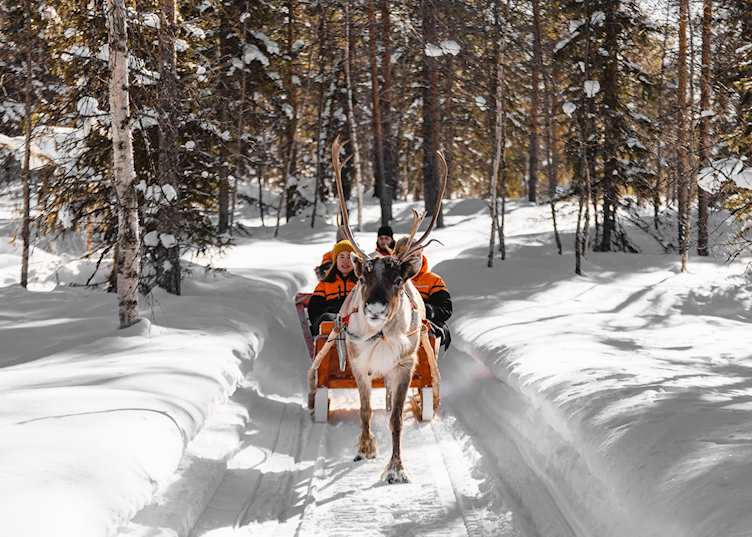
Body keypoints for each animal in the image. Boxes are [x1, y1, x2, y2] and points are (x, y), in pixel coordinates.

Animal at [308, 136, 447, 484]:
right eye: (362, 277)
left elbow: (396, 418)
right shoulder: (359, 364)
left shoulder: (403, 366)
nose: (374, 307)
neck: (381, 334)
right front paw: (365, 448)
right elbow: (365, 410)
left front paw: (396, 468)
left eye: (398, 279)